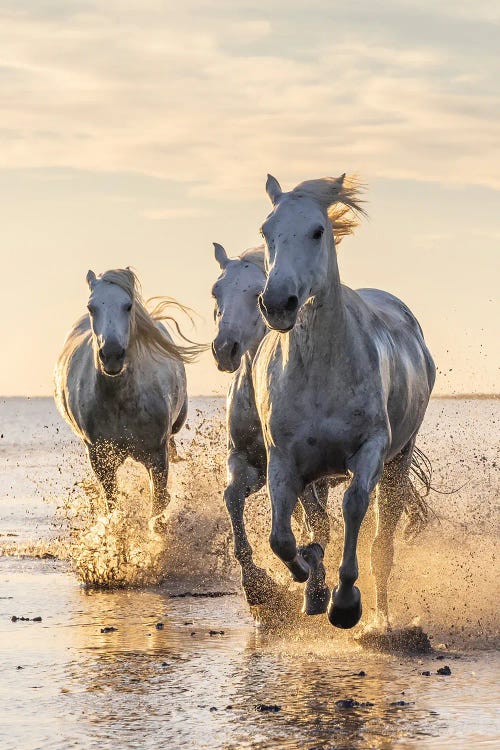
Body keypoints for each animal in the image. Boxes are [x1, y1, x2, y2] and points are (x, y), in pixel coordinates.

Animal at [54, 268, 203, 528]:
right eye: (91, 307)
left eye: (128, 305)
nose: (112, 355)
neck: (119, 402)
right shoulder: (101, 459)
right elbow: (114, 507)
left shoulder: (157, 455)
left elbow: (158, 504)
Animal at [254, 175, 434, 628]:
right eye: (266, 231)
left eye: (318, 231)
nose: (277, 303)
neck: (321, 372)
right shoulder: (283, 459)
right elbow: (283, 537)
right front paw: (308, 574)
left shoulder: (370, 449)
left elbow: (354, 508)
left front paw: (346, 601)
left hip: (399, 461)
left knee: (382, 544)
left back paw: (381, 619)